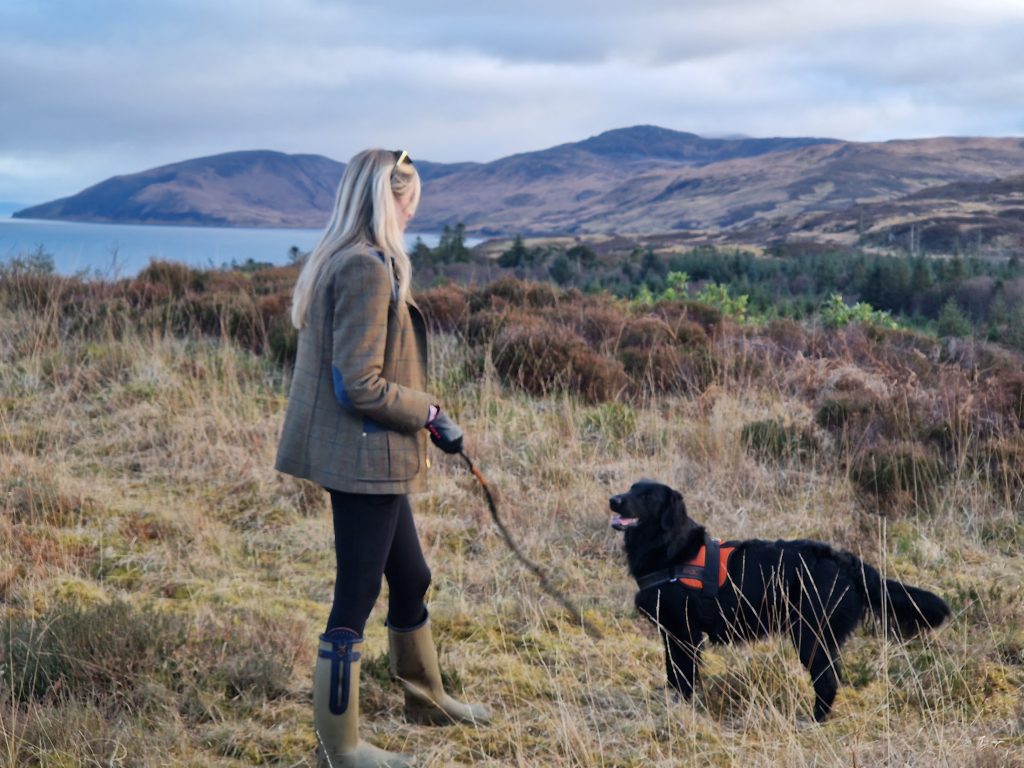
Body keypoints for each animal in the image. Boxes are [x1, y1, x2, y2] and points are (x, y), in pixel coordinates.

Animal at [606, 479, 950, 724]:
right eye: (631, 487)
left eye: (647, 495)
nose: (614, 500)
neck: (670, 550)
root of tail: (847, 562)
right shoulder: (670, 631)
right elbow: (671, 673)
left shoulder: (684, 633)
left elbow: (683, 675)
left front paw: (680, 708)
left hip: (811, 635)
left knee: (828, 681)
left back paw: (813, 720)